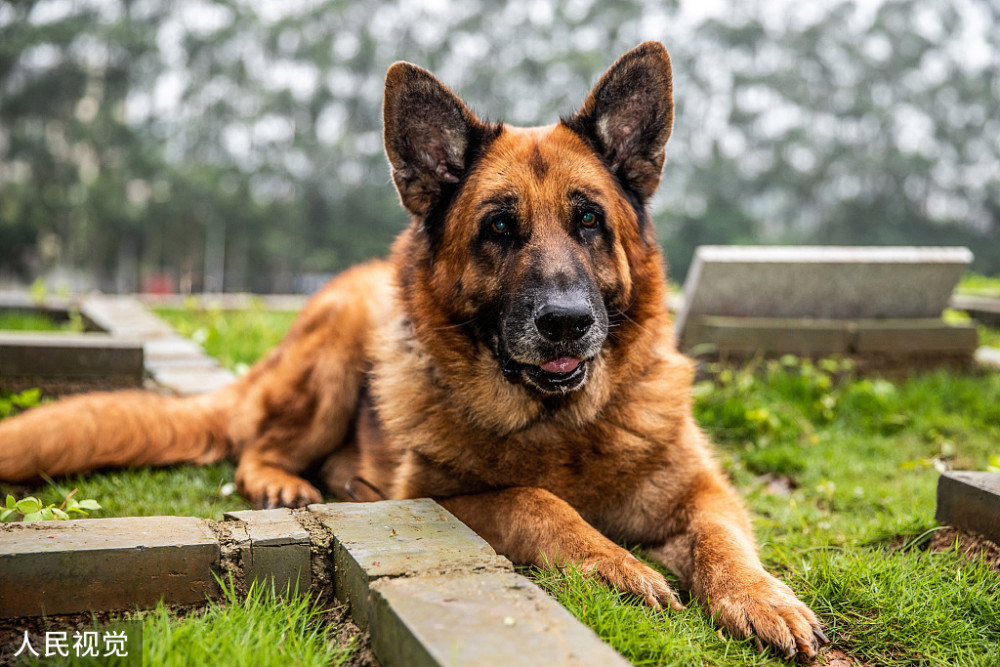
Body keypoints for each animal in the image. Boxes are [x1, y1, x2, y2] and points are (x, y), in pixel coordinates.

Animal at [1, 43, 828, 664]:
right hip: (336, 352)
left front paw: (763, 598)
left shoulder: (706, 492)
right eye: (499, 227)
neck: (561, 427)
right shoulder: (441, 497)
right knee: (255, 444)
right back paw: (286, 481)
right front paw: (618, 562)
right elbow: (535, 500)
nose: (565, 322)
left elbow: (725, 541)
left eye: (590, 220)